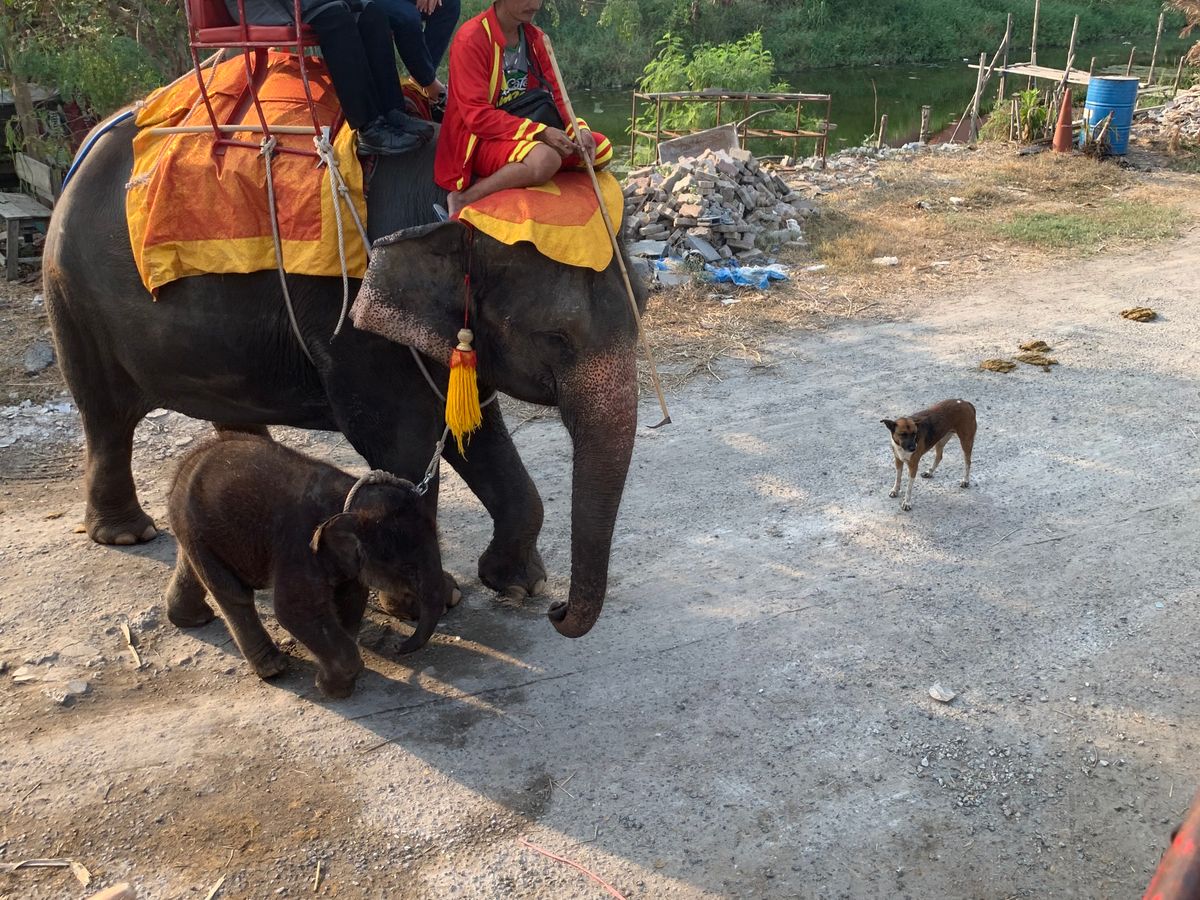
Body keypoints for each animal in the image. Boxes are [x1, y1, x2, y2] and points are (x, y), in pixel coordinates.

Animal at [43, 120, 644, 639]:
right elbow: (400, 443)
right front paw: (431, 600)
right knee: (105, 414)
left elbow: (473, 432)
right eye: (556, 337)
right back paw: (128, 533)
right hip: (72, 300)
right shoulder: (352, 322)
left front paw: (516, 585)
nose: (559, 610)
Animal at [167, 435, 444, 697]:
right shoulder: (298, 548)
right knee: (232, 594)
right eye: (408, 569)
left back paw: (191, 618)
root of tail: (187, 462)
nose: (398, 647)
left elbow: (350, 599)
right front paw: (333, 689)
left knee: (193, 567)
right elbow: (295, 610)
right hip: (199, 530)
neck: (349, 499)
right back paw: (273, 669)